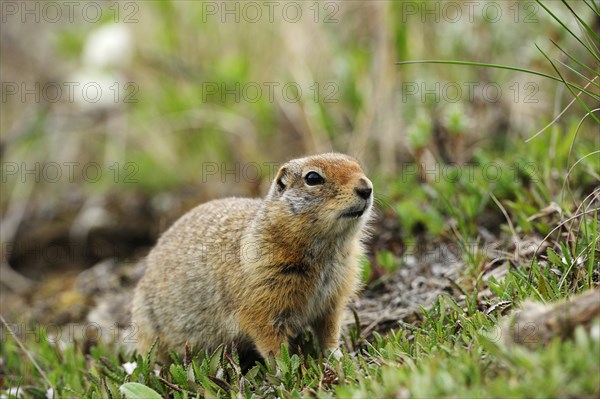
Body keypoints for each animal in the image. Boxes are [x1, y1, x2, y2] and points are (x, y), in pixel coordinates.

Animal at [132, 153, 370, 360]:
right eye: (312, 178)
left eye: (358, 165)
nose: (367, 188)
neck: (327, 251)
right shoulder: (261, 302)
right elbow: (271, 342)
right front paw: (284, 371)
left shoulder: (333, 300)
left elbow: (329, 333)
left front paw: (339, 358)